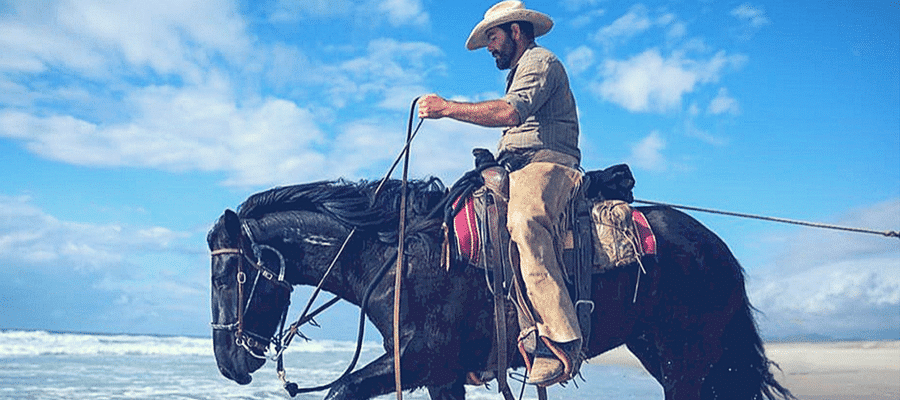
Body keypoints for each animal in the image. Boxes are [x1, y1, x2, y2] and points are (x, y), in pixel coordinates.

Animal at [206, 179, 796, 400]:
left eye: (227, 276)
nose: (229, 364)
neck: (398, 259)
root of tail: (715, 245)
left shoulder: (419, 360)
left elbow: (340, 390)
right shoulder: (440, 373)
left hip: (686, 359)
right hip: (662, 349)